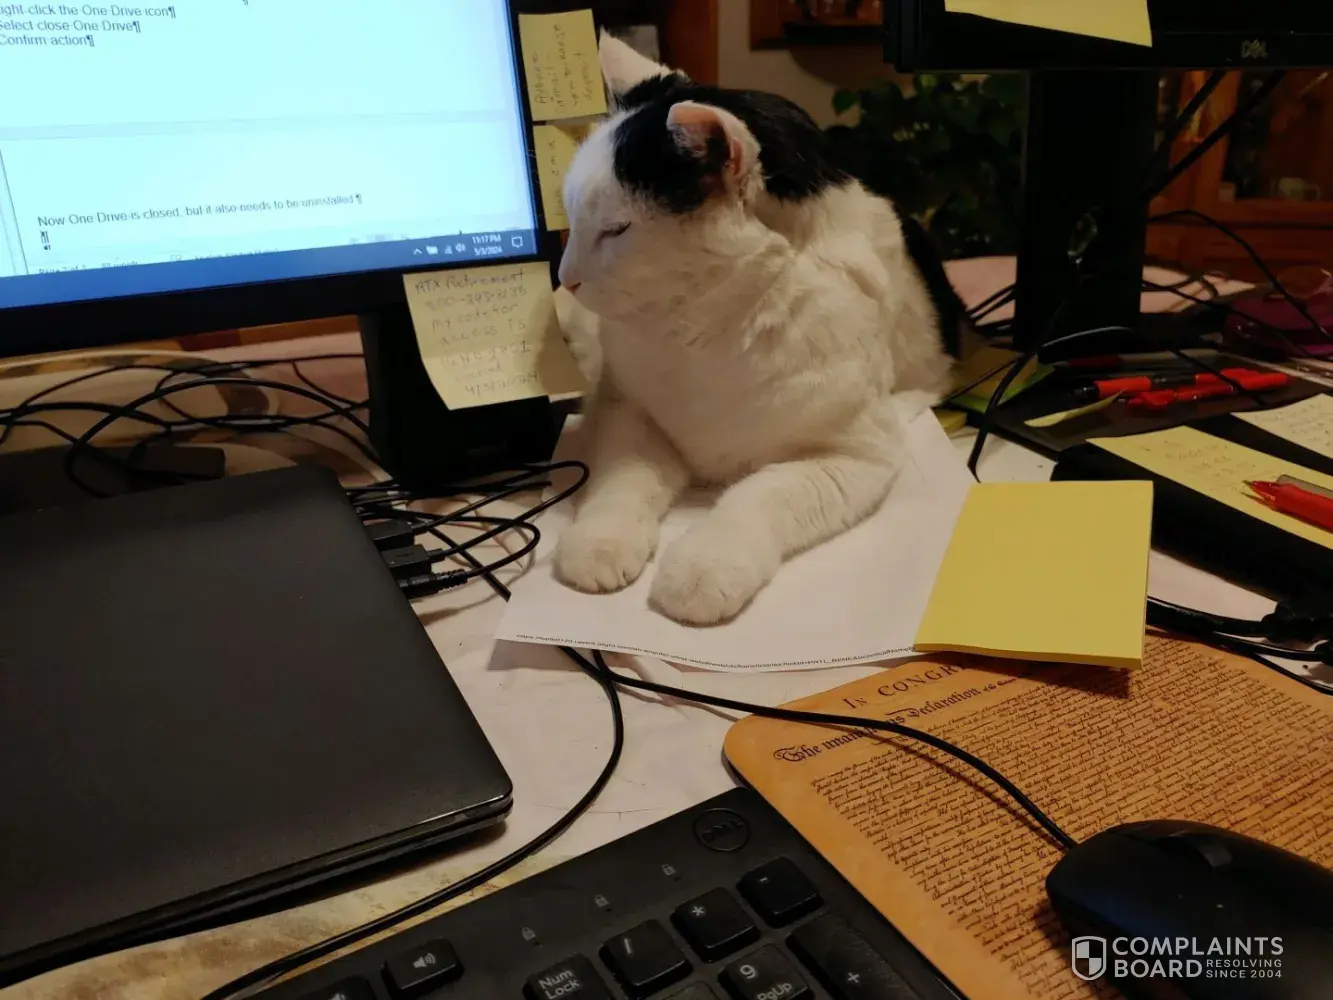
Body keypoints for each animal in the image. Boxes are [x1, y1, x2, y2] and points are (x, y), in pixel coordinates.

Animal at [551, 33, 969, 627]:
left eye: (617, 229)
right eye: (573, 217)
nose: (566, 276)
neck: (702, 327)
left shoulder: (853, 456)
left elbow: (759, 495)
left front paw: (704, 567)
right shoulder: (623, 410)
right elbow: (622, 479)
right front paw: (600, 543)